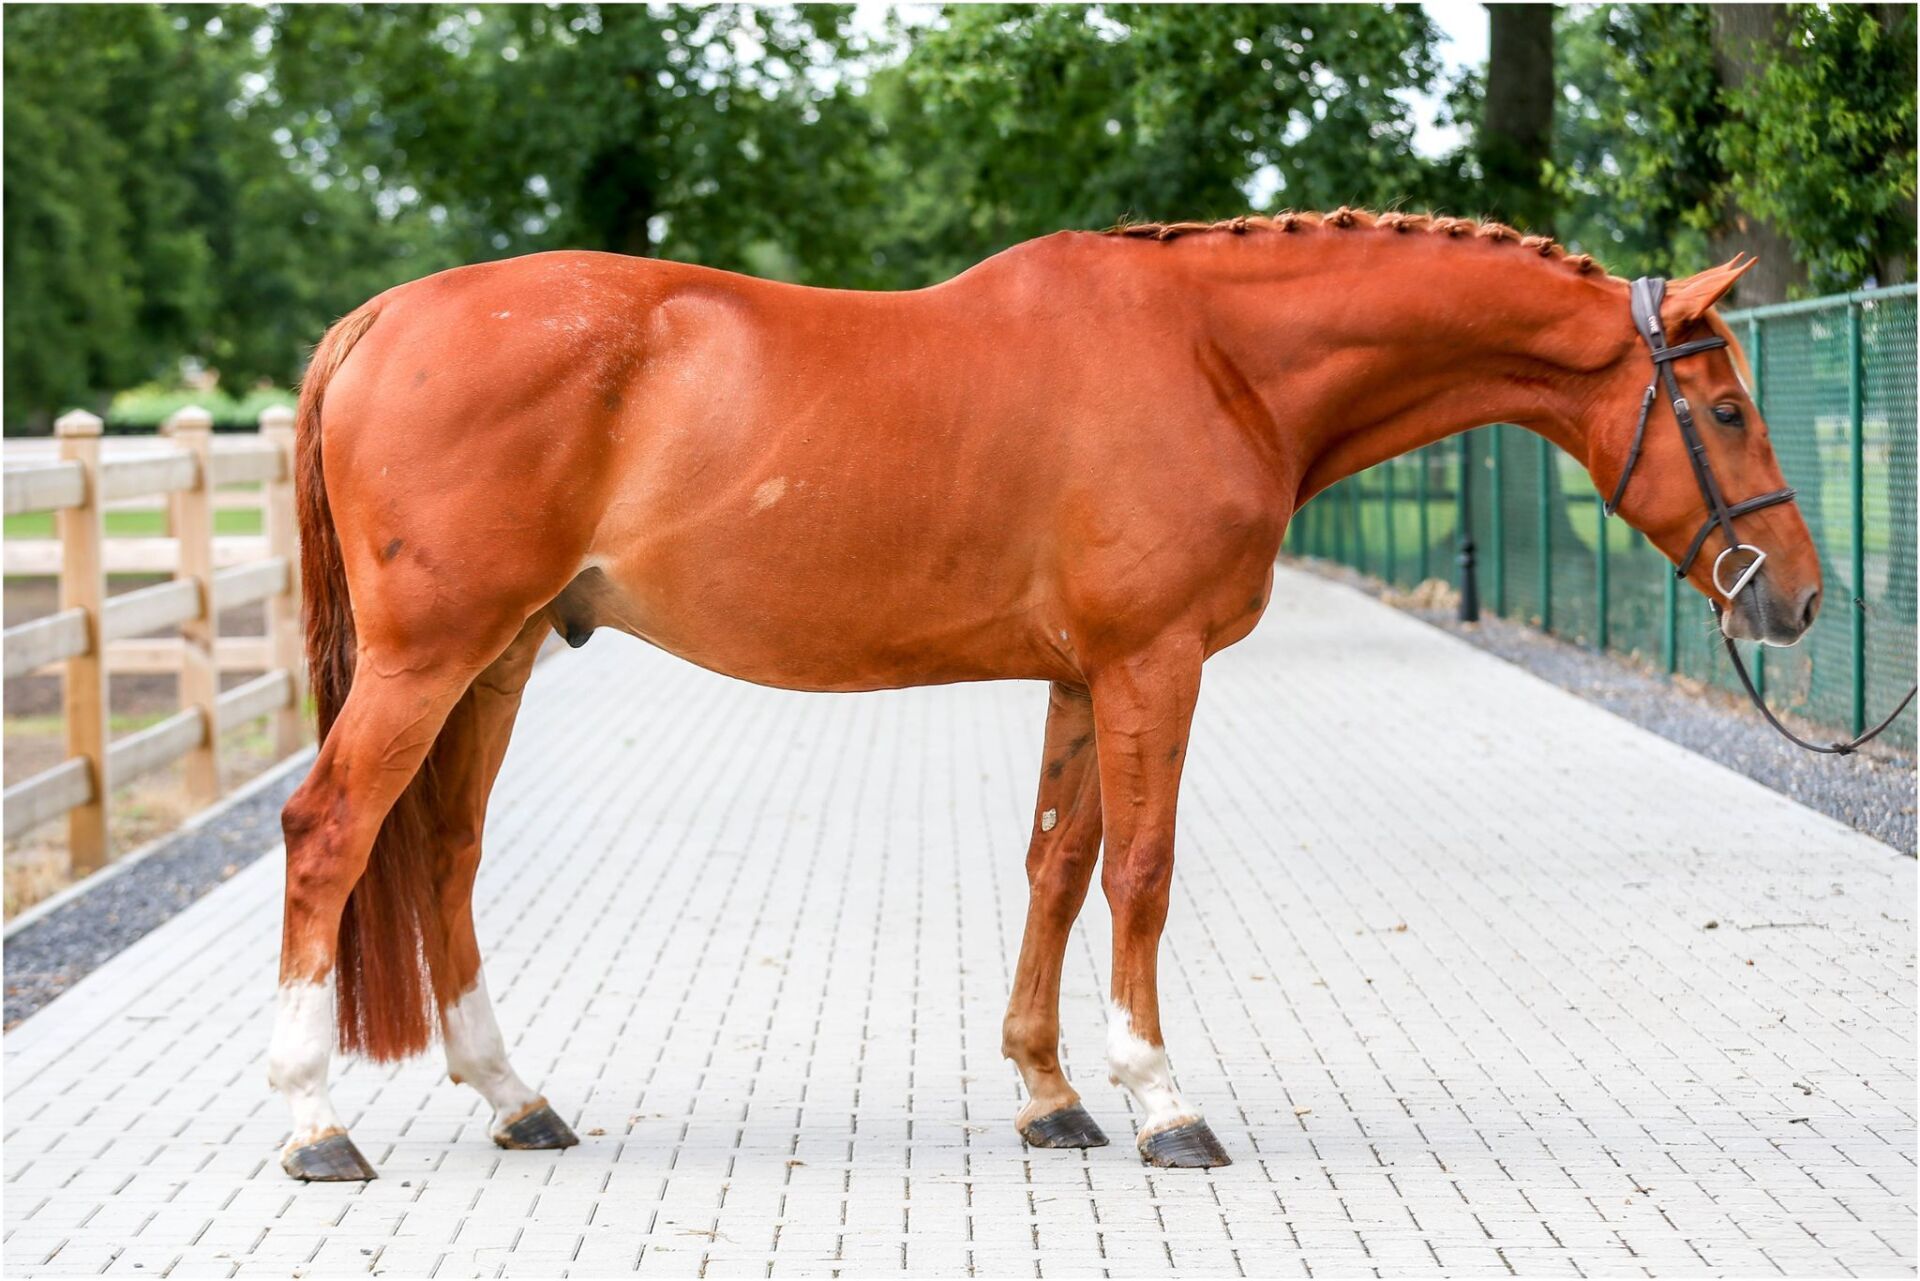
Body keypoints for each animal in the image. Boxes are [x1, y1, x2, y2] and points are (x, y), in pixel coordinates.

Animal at [268, 209, 1821, 1180]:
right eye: (1727, 407)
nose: (1797, 599)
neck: (1215, 358)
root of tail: (384, 317)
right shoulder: (1153, 663)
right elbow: (1142, 869)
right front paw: (1162, 1101)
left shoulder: (1084, 676)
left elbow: (1058, 865)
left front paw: (1050, 1094)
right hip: (433, 657)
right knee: (331, 833)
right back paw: (313, 1127)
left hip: (503, 654)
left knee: (446, 850)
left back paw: (515, 1099)